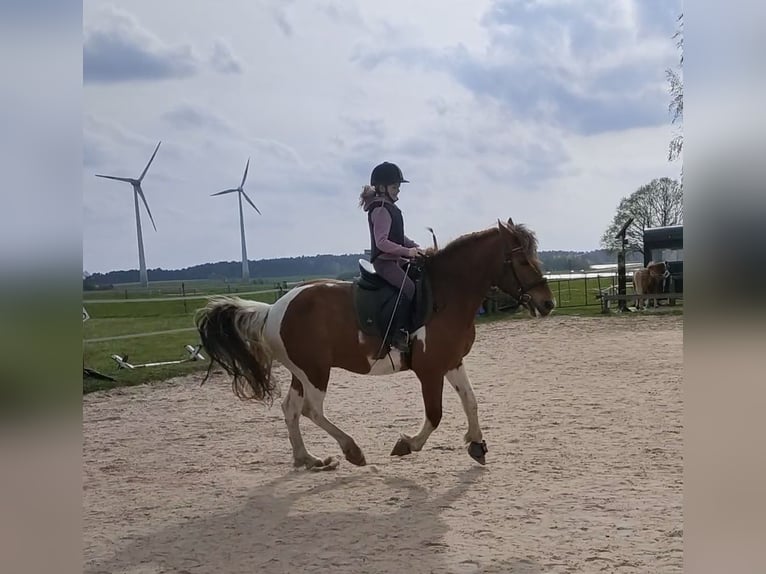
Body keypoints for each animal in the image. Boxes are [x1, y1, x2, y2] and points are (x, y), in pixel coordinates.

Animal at [196, 218, 560, 470]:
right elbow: (435, 414)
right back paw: (352, 450)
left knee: (291, 409)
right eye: (523, 261)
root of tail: (273, 309)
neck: (446, 295)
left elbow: (470, 402)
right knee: (312, 410)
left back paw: (308, 459)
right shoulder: (429, 370)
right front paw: (408, 444)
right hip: (315, 372)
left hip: (303, 372)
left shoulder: (452, 362)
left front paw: (477, 444)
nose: (547, 303)